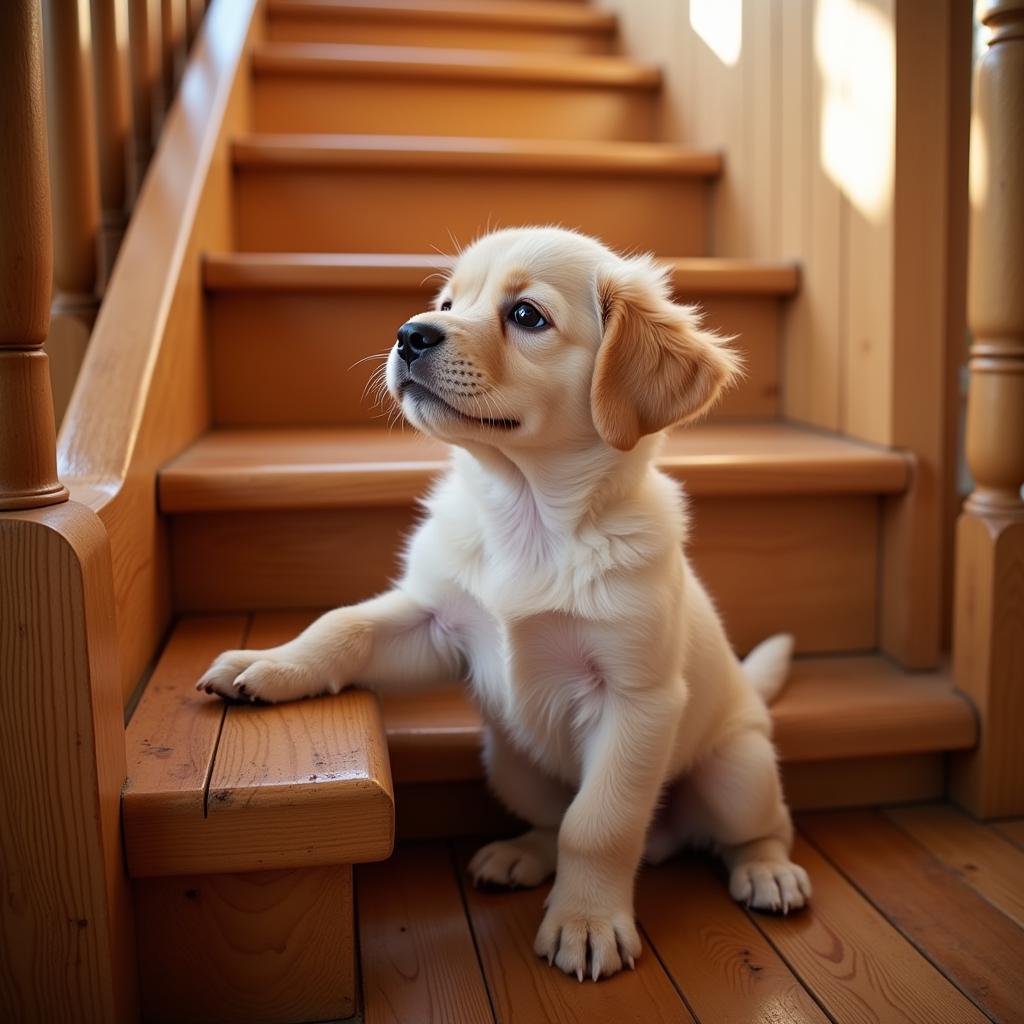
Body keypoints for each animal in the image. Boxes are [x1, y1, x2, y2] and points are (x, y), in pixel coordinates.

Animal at [197, 228, 806, 978]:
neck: (528, 514)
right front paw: (267, 665)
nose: (409, 335)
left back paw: (768, 871)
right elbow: (341, 628)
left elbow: (597, 825)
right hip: (513, 764)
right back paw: (521, 855)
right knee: (549, 820)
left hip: (735, 772)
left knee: (759, 828)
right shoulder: (433, 622)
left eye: (525, 316)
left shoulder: (636, 700)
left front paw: (586, 921)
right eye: (446, 303)